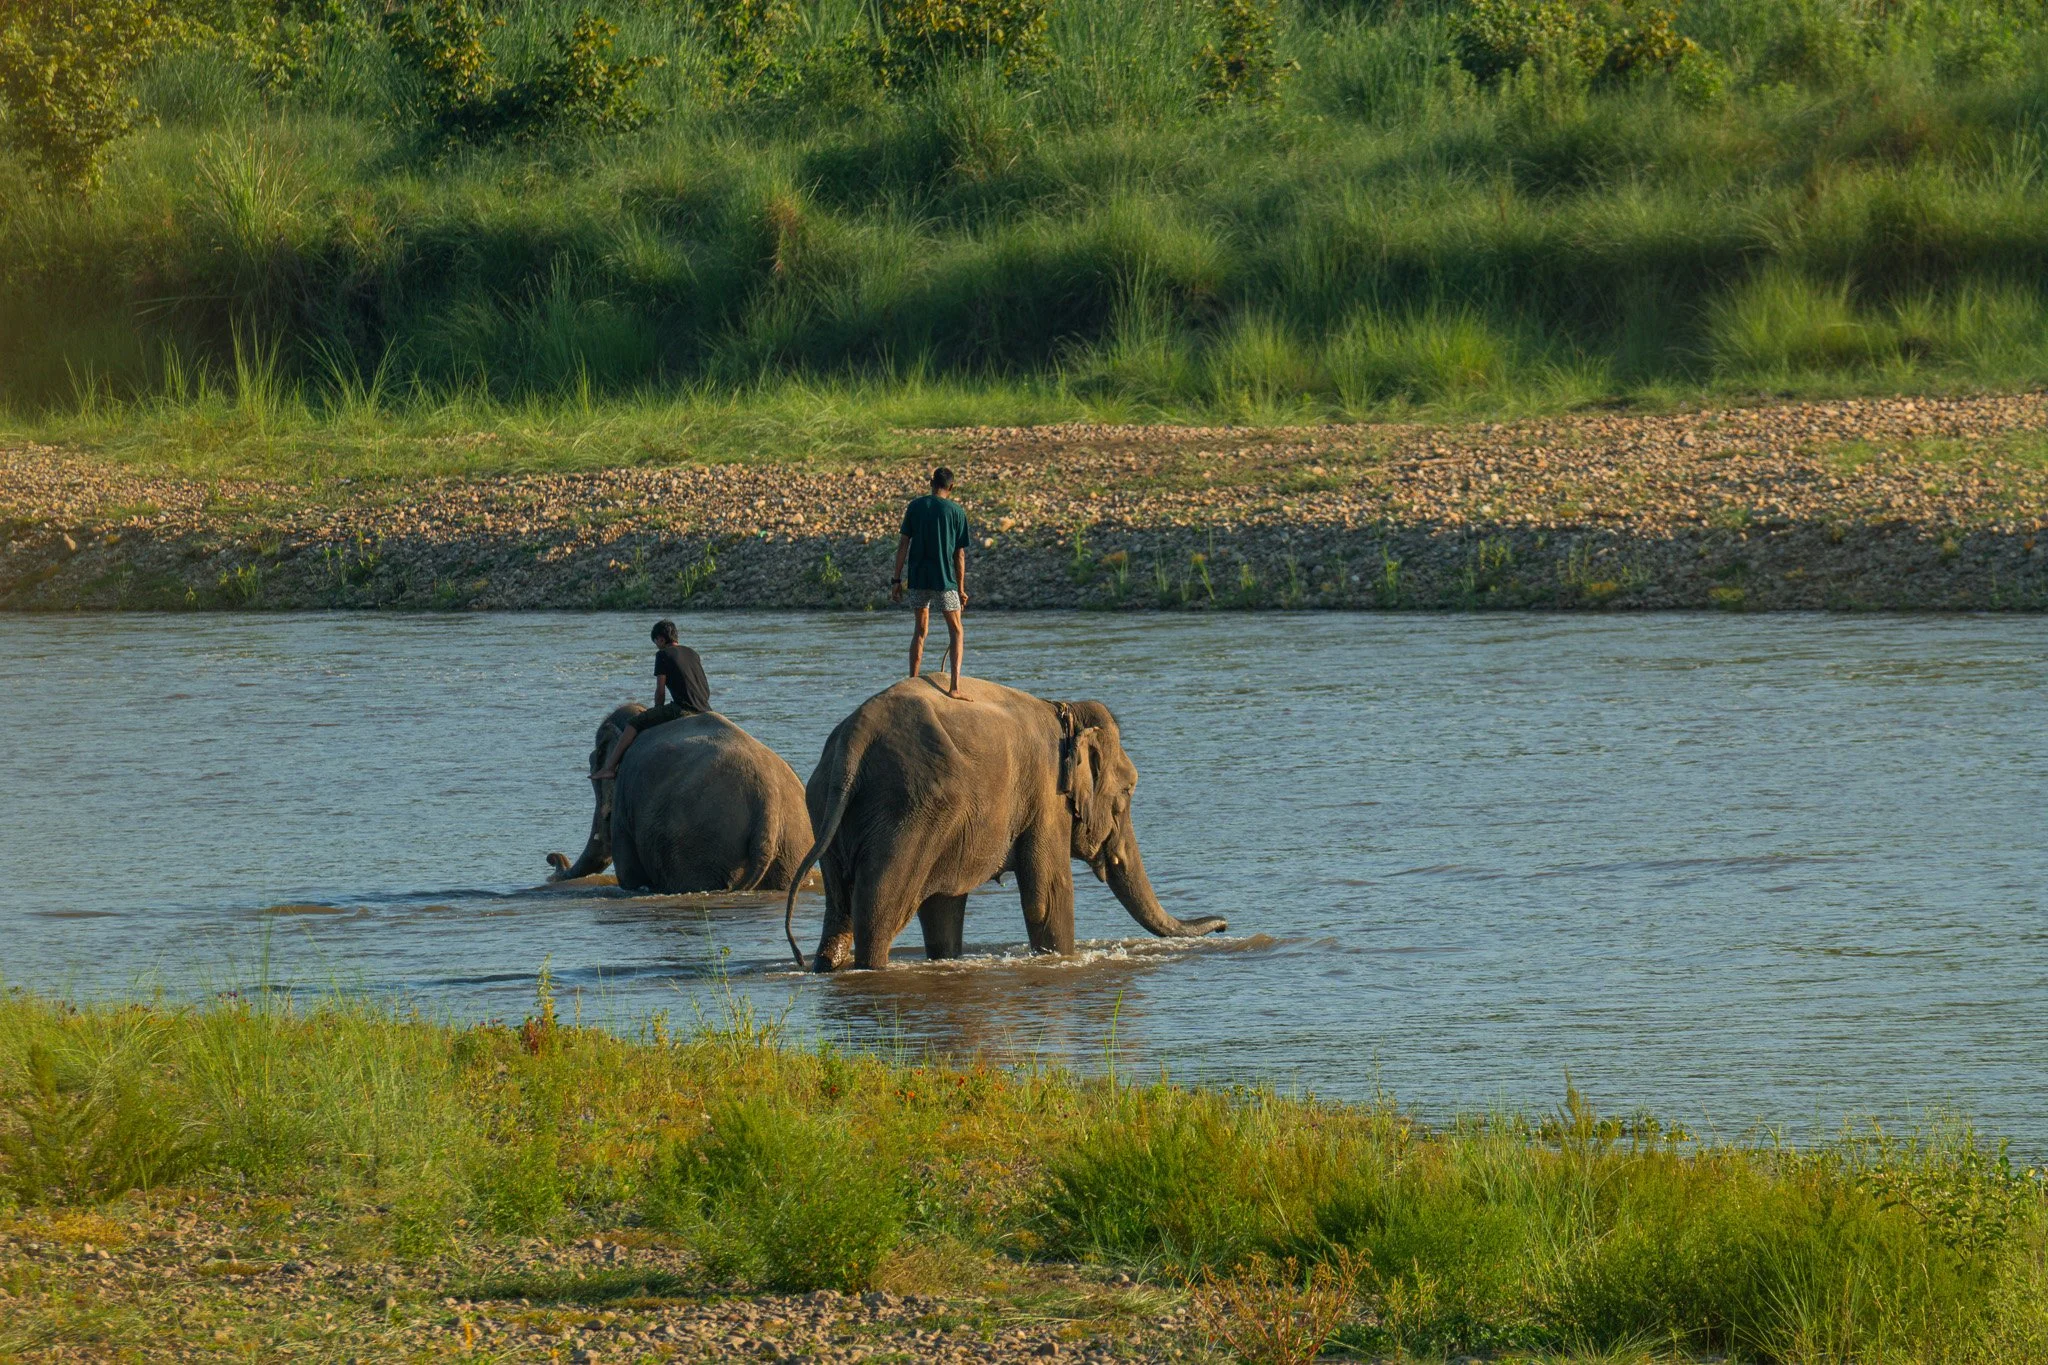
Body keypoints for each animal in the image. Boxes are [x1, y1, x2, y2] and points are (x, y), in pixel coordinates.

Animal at [546, 704, 815, 893]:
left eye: (593, 767)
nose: (552, 858)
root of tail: (768, 803)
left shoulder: (625, 799)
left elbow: (630, 875)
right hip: (791, 846)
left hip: (698, 842)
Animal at [782, 676, 1227, 970]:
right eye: (1128, 791)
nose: (1224, 924)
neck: (1065, 711)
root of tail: (853, 741)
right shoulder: (1047, 798)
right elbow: (1047, 896)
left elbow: (944, 906)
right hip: (907, 812)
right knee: (878, 909)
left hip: (831, 811)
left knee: (840, 911)